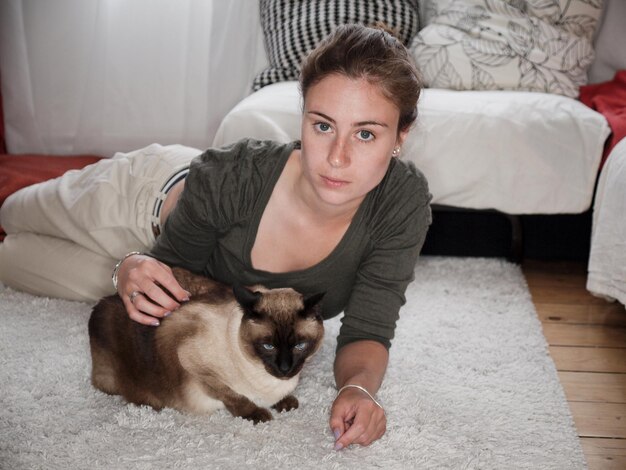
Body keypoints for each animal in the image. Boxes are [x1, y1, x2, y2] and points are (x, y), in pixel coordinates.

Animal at [88, 266, 324, 424]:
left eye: (300, 345)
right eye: (268, 347)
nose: (285, 369)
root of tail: (109, 297)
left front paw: (284, 401)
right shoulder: (194, 365)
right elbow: (234, 396)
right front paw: (257, 413)